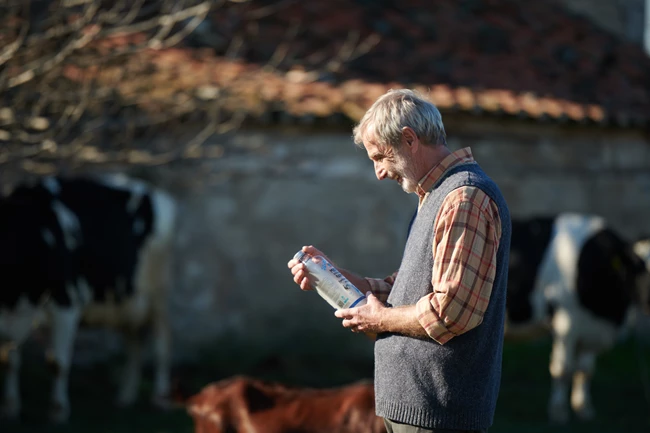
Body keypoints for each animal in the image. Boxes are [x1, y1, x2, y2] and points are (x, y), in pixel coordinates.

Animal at [0, 173, 176, 422]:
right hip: (126, 301)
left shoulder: (66, 302)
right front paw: (10, 407)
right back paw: (126, 396)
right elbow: (9, 361)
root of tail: (155, 192)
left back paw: (159, 399)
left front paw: (58, 411)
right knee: (134, 342)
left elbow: (57, 362)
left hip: (159, 293)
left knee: (162, 343)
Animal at [506, 213, 648, 422]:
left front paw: (583, 408)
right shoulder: (567, 321)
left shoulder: (590, 327)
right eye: (639, 269)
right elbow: (563, 369)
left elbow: (585, 370)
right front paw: (558, 412)